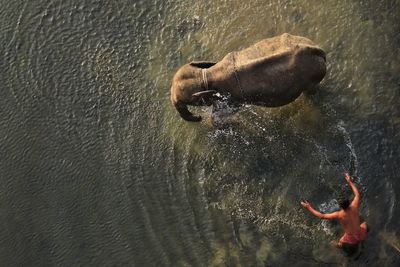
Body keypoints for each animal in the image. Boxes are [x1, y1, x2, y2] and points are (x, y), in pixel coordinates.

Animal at [170, 33, 324, 122]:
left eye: (187, 101)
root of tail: (318, 50)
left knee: (311, 92)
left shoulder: (231, 99)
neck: (206, 74)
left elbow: (218, 119)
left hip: (311, 76)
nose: (199, 117)